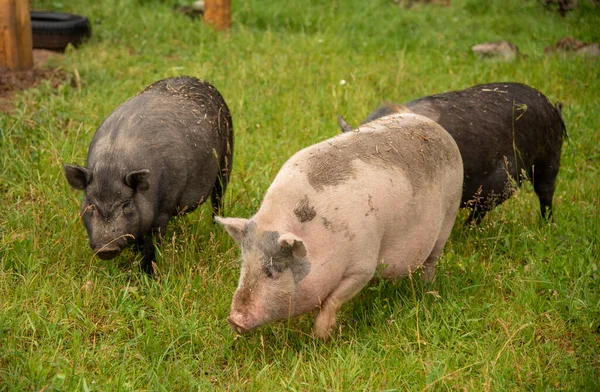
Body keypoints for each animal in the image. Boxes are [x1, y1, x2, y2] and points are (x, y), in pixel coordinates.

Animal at [64, 76, 233, 272]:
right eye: (91, 204)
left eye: (126, 204)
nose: (106, 248)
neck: (112, 163)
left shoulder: (164, 208)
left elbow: (152, 243)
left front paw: (146, 273)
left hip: (226, 160)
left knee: (218, 198)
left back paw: (217, 228)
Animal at [217, 112, 464, 338]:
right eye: (244, 266)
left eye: (272, 271)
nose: (234, 319)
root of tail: (435, 126)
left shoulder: (362, 266)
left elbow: (332, 300)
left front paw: (319, 338)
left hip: (449, 213)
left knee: (431, 260)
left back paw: (426, 289)